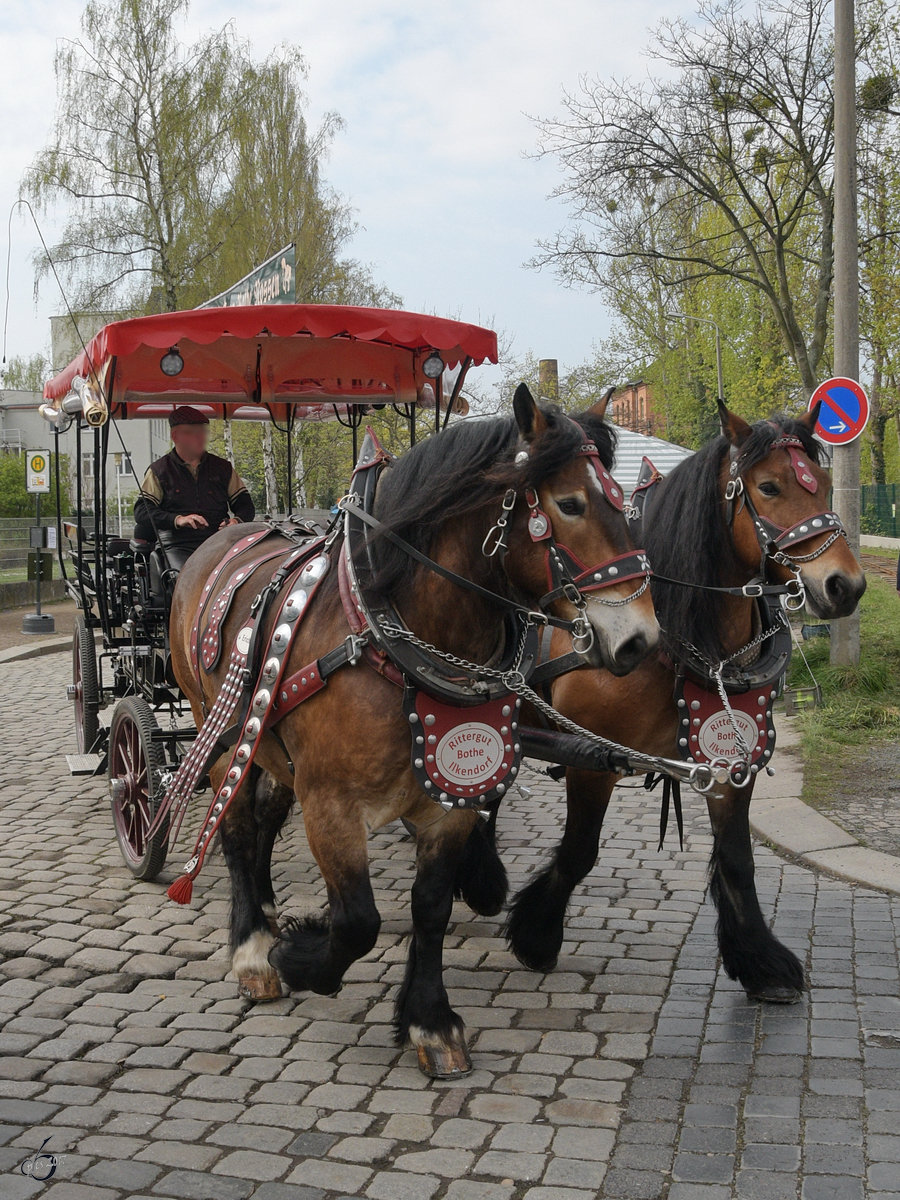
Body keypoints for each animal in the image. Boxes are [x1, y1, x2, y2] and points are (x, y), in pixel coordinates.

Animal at [168, 385, 660, 1077]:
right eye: (570, 503)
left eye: (625, 504)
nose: (641, 639)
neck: (387, 635)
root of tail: (225, 537)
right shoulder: (332, 805)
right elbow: (357, 922)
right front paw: (298, 956)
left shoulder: (450, 799)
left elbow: (429, 908)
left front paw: (429, 1021)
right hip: (216, 727)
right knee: (236, 828)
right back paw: (253, 947)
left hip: (269, 747)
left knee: (262, 817)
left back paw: (264, 910)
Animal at [503, 400, 866, 1003]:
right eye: (768, 487)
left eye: (824, 480)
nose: (846, 585)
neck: (677, 640)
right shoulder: (591, 763)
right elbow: (579, 852)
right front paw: (535, 933)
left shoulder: (728, 758)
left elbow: (739, 859)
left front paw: (760, 961)